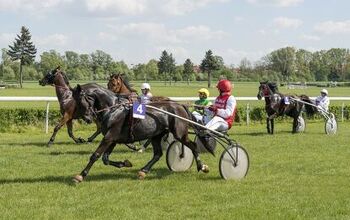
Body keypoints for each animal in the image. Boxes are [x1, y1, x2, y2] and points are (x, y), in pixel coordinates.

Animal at [72, 84, 212, 182]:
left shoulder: (109, 137)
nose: (87, 119)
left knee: (193, 146)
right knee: (158, 154)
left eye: (81, 101)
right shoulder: (113, 139)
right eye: (76, 102)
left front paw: (81, 175)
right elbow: (105, 158)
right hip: (156, 135)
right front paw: (125, 163)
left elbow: (95, 155)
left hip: (180, 133)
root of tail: (180, 105)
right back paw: (143, 171)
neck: (114, 108)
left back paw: (202, 166)